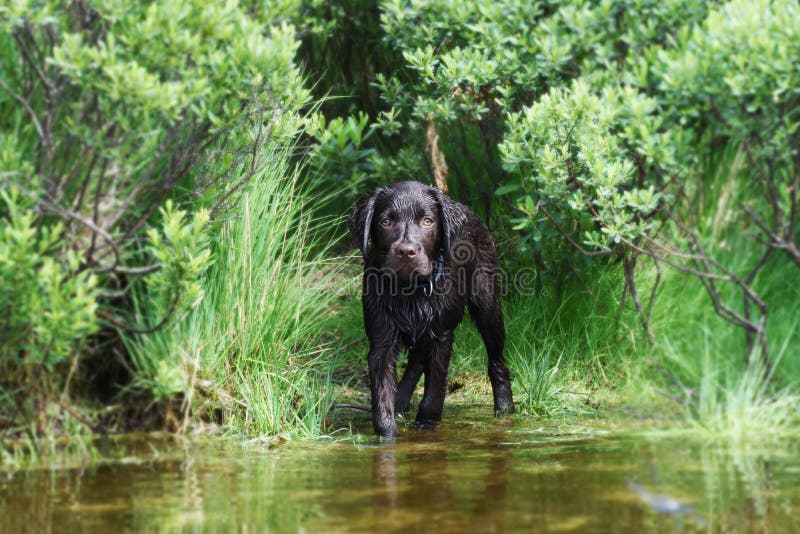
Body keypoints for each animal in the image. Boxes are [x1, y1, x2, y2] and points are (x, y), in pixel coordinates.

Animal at [348, 182, 512, 438]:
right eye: (385, 221)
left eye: (427, 221)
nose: (406, 251)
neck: (410, 291)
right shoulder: (381, 340)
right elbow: (382, 394)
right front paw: (387, 435)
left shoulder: (441, 337)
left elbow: (434, 391)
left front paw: (426, 426)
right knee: (415, 361)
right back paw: (400, 401)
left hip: (488, 307)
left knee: (497, 362)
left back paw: (505, 408)